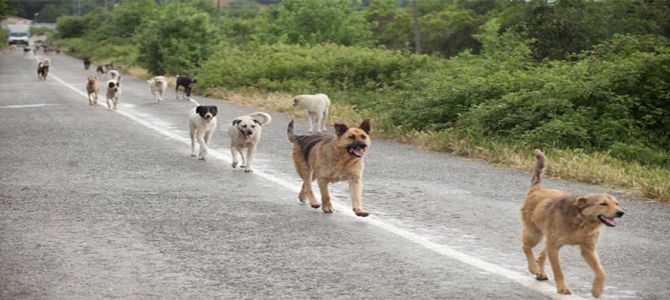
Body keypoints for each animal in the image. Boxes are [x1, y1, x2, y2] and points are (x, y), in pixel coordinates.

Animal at [524, 149, 628, 298]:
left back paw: (540, 272)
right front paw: (562, 288)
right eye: (603, 203)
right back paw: (533, 267)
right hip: (535, 234)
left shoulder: (588, 249)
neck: (582, 221)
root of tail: (537, 189)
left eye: (617, 203)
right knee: (526, 247)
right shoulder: (554, 247)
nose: (621, 212)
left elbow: (601, 272)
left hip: (549, 239)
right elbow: (558, 271)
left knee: (541, 254)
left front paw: (597, 289)